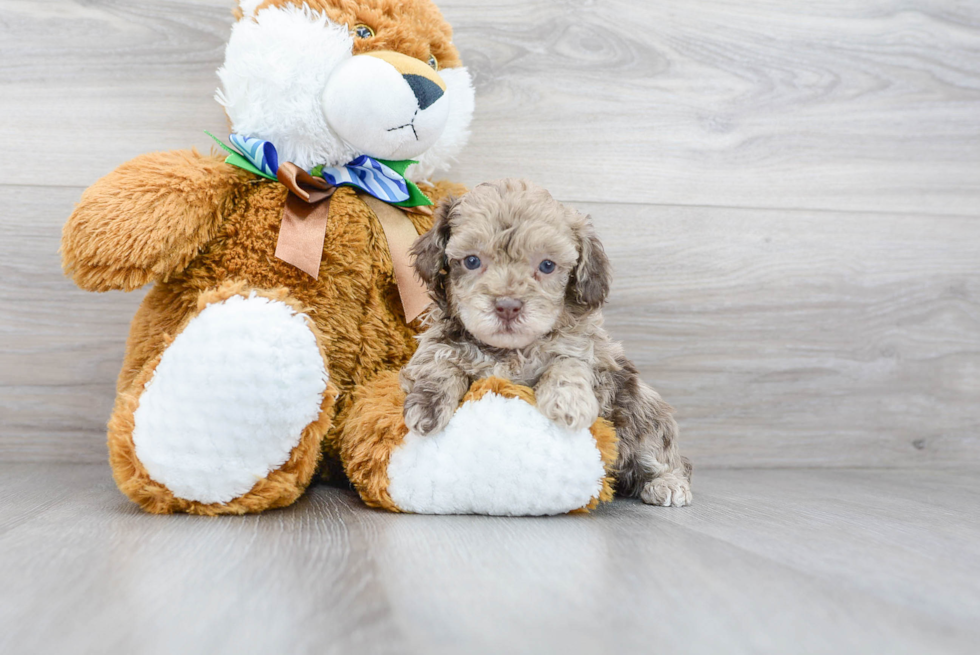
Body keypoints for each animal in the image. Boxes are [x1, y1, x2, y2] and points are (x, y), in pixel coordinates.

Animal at [396, 179, 688, 508]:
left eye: (547, 266)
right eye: (472, 261)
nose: (508, 306)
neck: (510, 351)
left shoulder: (591, 353)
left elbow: (569, 362)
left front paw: (568, 402)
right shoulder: (435, 344)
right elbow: (440, 363)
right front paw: (427, 406)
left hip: (643, 411)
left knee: (662, 454)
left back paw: (668, 483)